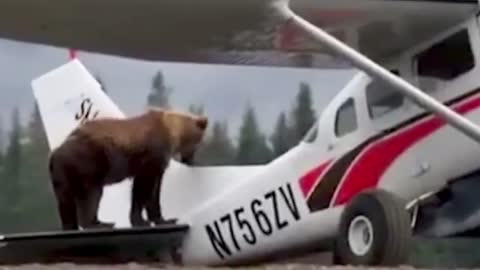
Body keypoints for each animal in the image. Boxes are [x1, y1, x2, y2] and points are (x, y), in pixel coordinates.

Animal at [47, 107, 208, 230]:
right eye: (198, 142)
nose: (190, 160)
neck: (172, 132)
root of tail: (55, 154)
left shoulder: (157, 164)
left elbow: (152, 191)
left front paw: (163, 219)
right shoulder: (151, 156)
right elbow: (143, 188)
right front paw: (142, 220)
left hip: (63, 175)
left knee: (66, 202)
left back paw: (75, 225)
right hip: (88, 163)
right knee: (91, 194)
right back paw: (100, 224)